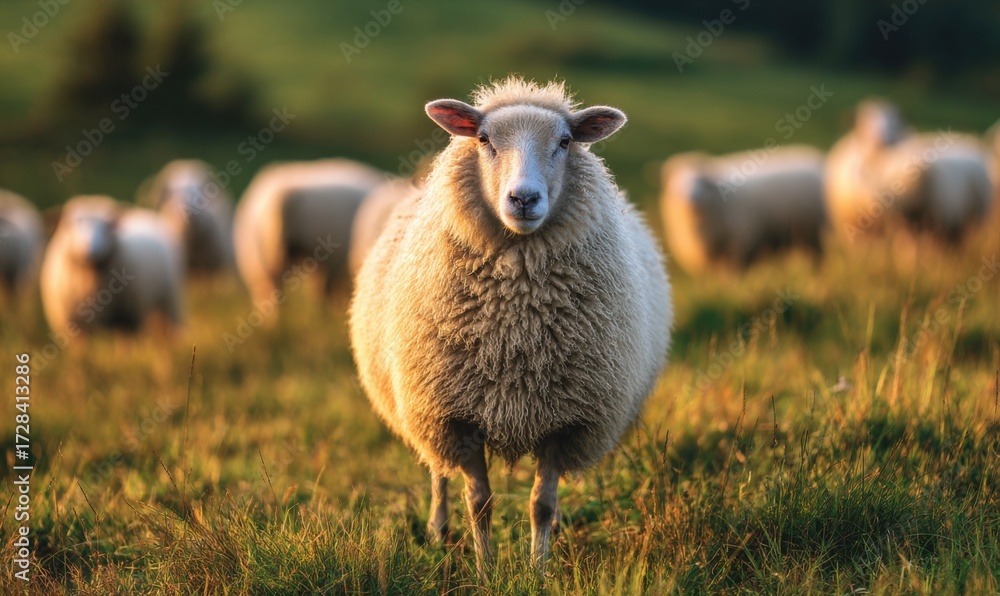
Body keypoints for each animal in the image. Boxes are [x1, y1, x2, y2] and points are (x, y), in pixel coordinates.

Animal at [40, 196, 183, 337]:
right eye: (68, 224)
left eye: (108, 226)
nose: (89, 250)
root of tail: (141, 211)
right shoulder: (76, 326)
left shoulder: (128, 318)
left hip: (169, 298)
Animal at [349, 77, 673, 574]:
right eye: (484, 140)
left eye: (565, 142)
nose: (523, 198)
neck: (515, 332)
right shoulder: (456, 416)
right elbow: (479, 502)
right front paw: (485, 570)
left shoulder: (567, 420)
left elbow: (541, 503)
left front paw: (538, 570)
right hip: (424, 408)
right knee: (438, 472)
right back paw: (438, 531)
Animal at [660, 145, 826, 273]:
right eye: (676, 184)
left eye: (702, 182)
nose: (689, 199)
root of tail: (813, 156)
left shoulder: (740, 243)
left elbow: (735, 271)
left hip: (812, 230)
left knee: (817, 255)